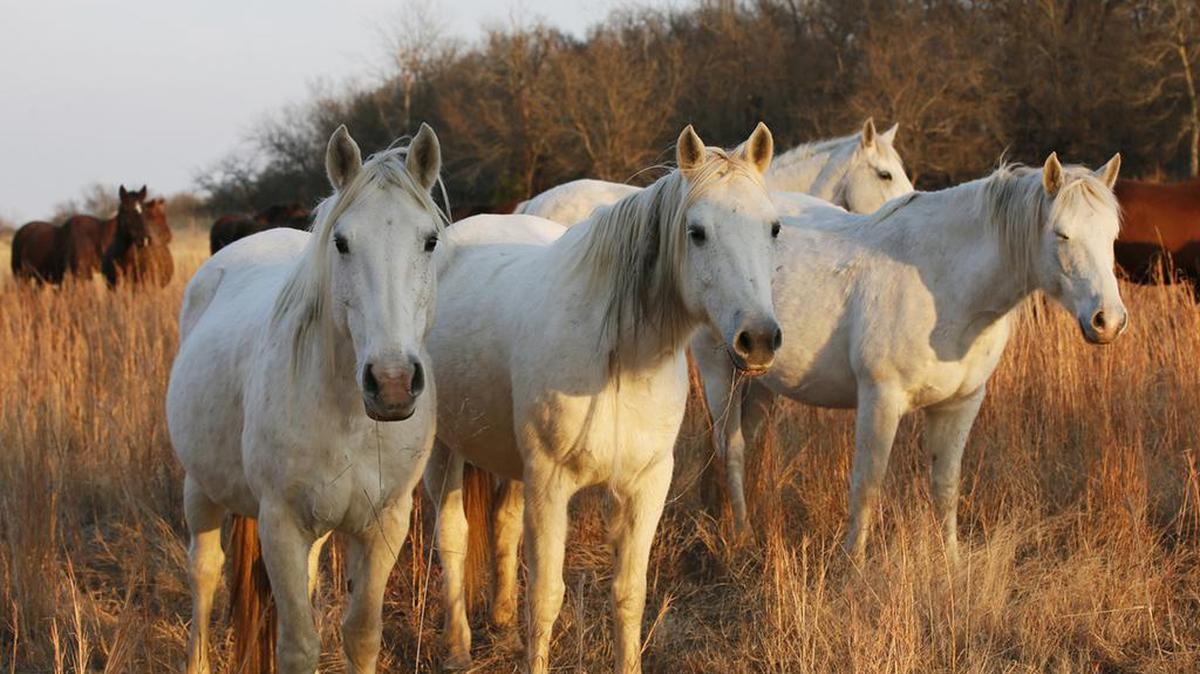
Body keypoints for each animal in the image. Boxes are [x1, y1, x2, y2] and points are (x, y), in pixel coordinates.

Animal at [166, 123, 446, 674]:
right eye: (341, 242)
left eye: (429, 240)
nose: (392, 381)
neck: (350, 421)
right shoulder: (281, 523)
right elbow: (298, 645)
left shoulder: (384, 524)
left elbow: (361, 634)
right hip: (201, 489)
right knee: (204, 574)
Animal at [424, 124, 782, 673]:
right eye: (696, 231)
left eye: (774, 228)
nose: (758, 340)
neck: (618, 358)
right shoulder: (551, 484)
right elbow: (546, 597)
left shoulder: (644, 484)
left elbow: (629, 594)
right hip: (444, 451)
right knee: (453, 537)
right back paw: (459, 650)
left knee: (502, 524)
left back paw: (502, 626)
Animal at [693, 153, 1127, 561]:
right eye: (1062, 234)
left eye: (1112, 235)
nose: (1108, 320)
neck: (941, 281)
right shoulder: (881, 399)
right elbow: (867, 485)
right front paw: (853, 565)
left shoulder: (960, 405)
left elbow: (946, 486)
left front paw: (951, 563)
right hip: (720, 371)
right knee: (731, 447)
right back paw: (742, 536)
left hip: (762, 380)